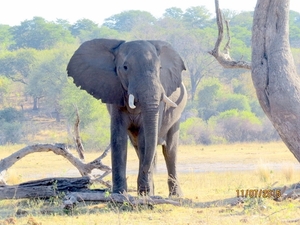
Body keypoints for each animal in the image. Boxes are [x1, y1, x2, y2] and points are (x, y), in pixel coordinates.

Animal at [67, 37, 186, 196]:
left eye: (160, 68)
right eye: (125, 67)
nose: (146, 171)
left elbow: (145, 140)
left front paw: (145, 193)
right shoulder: (114, 93)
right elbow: (118, 138)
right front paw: (120, 193)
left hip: (176, 116)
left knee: (169, 150)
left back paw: (175, 196)